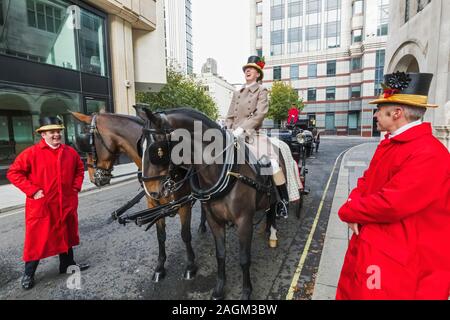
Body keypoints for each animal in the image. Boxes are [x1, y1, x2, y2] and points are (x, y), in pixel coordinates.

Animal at [70, 111, 204, 282]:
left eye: (88, 144)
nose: (94, 178)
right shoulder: (153, 203)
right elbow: (161, 236)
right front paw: (160, 267)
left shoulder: (183, 203)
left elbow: (185, 235)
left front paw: (190, 266)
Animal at [137, 107, 288, 300]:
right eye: (140, 147)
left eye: (157, 151)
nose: (151, 192)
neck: (223, 171)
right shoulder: (214, 220)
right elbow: (220, 255)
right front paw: (219, 289)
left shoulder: (244, 221)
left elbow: (244, 258)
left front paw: (246, 291)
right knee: (268, 210)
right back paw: (267, 228)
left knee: (274, 208)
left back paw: (273, 233)